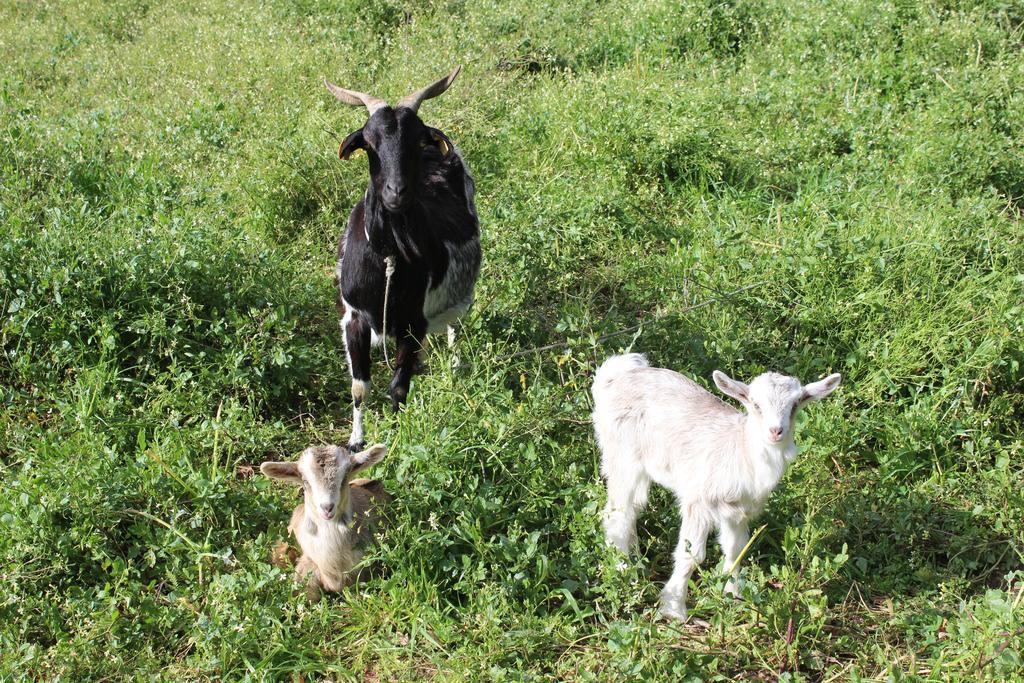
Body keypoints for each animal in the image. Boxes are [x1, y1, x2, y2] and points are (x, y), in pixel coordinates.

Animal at [323, 65, 479, 448]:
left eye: (417, 139)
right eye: (368, 142)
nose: (397, 192)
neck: (388, 259)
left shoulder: (413, 323)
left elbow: (399, 387)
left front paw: (395, 438)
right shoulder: (353, 319)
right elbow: (360, 387)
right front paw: (356, 441)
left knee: (454, 320)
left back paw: (455, 365)